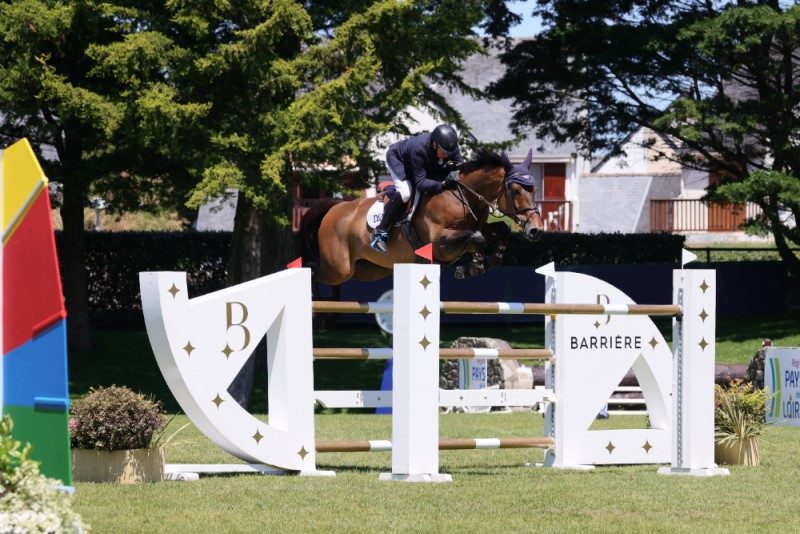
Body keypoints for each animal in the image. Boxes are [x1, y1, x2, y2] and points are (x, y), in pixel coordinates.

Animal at [298, 149, 544, 286]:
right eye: (515, 191)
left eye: (533, 189)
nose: (535, 230)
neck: (462, 197)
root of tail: (333, 209)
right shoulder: (440, 242)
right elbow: (476, 237)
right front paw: (472, 266)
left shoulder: (480, 226)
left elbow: (500, 229)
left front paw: (490, 261)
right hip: (338, 268)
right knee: (313, 271)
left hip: (368, 270)